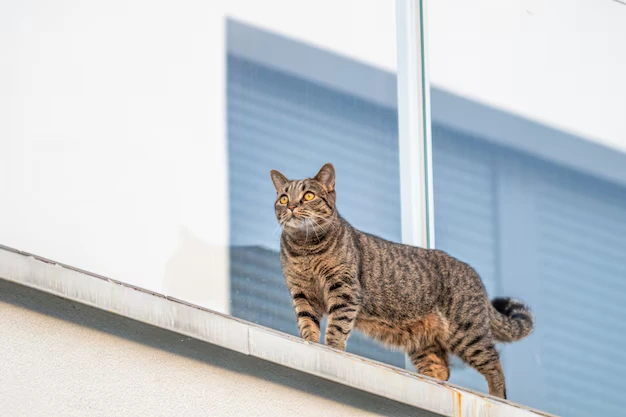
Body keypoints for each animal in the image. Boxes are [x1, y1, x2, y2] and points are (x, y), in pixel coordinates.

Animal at [268, 162, 532, 396]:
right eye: (284, 198)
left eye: (308, 196)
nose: (291, 206)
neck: (305, 249)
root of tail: (476, 278)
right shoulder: (302, 293)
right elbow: (307, 323)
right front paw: (309, 345)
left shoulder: (344, 289)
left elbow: (336, 327)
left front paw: (331, 351)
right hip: (424, 344)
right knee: (441, 370)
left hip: (467, 332)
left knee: (494, 365)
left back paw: (496, 396)